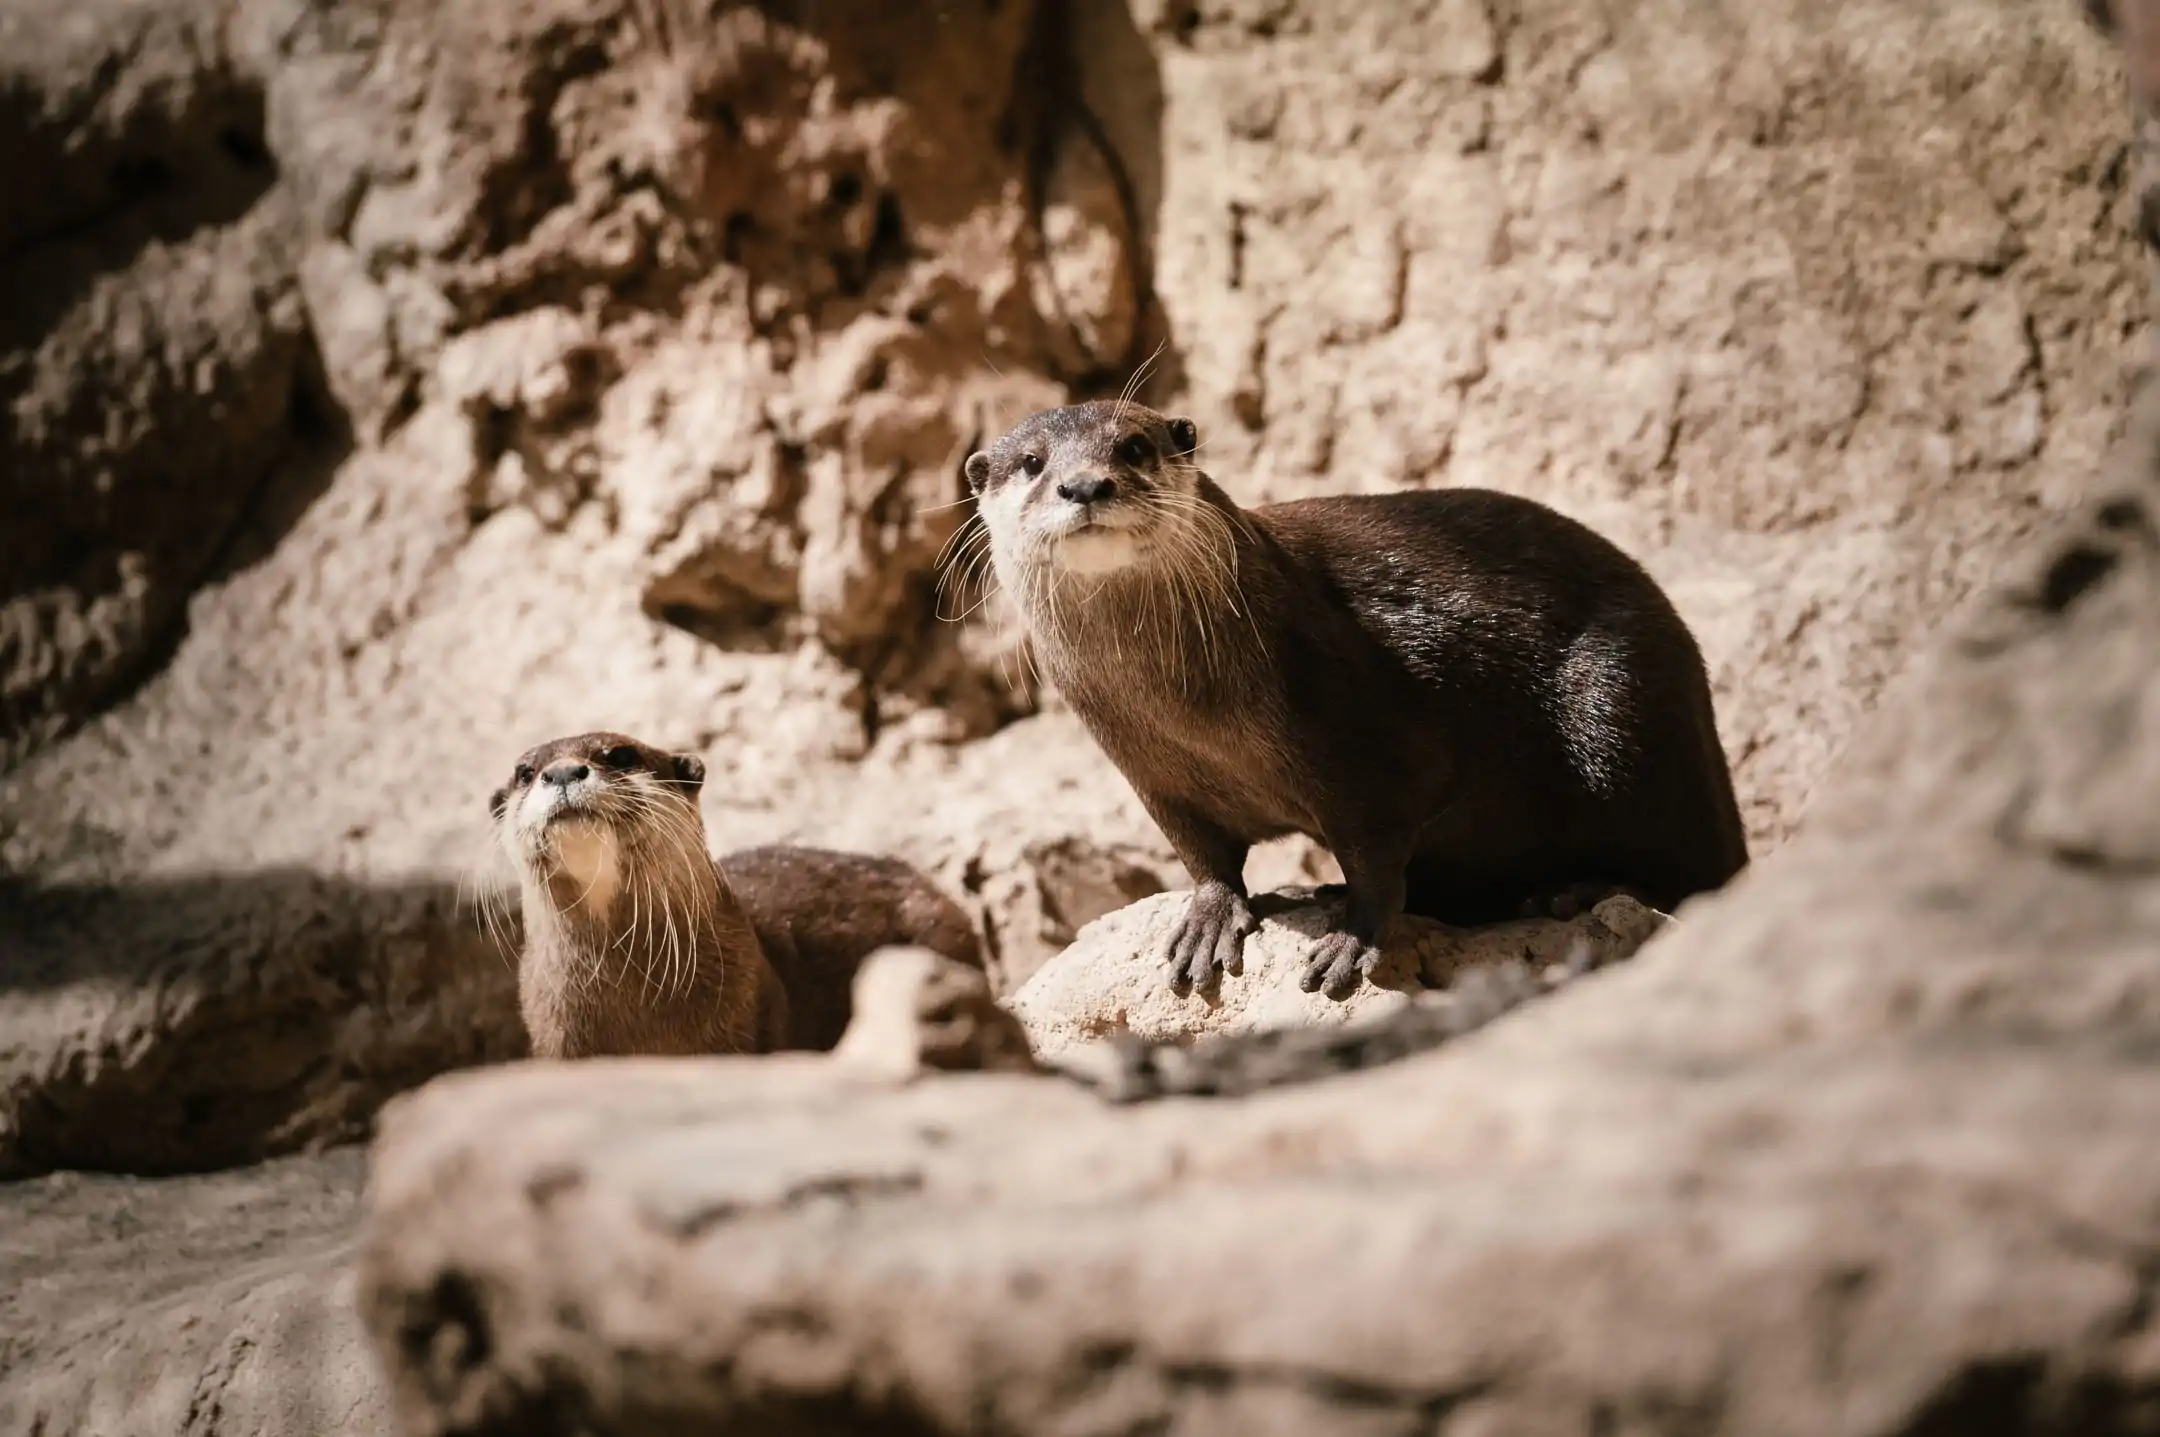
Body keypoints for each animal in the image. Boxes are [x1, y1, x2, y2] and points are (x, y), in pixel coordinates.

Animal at [972, 397, 1745, 994]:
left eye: (1133, 445)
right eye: (1033, 462)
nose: (1084, 486)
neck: (1189, 712)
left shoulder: (1365, 750)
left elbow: (1376, 857)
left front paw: (1353, 939)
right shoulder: (1155, 777)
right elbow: (1205, 857)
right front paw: (1210, 919)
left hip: (1625, 715)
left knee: (1701, 870)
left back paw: (1577, 892)